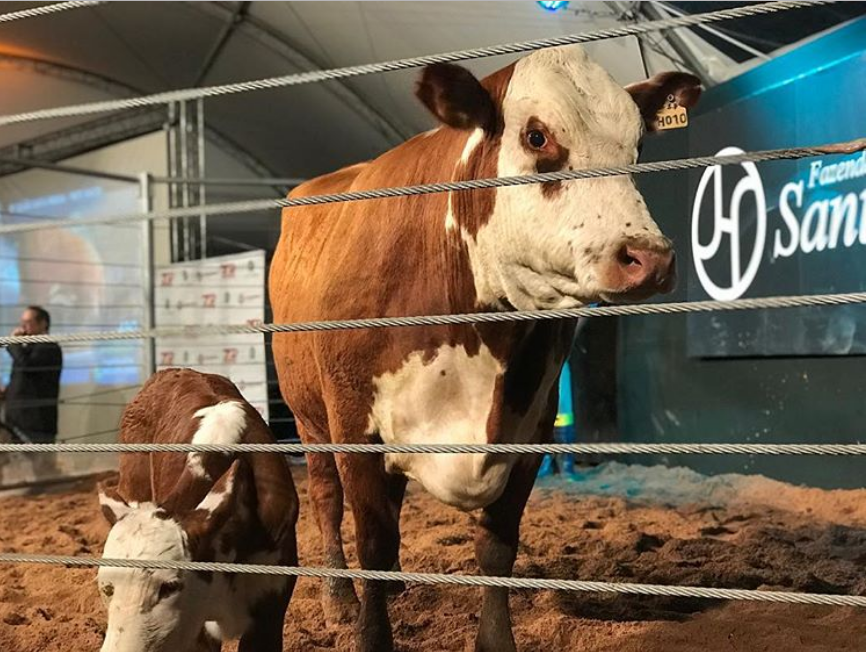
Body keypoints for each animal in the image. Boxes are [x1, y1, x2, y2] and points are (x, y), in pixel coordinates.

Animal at [266, 45, 700, 652]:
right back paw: (339, 600)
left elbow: (496, 546)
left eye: (637, 146)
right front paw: (368, 626)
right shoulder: (354, 423)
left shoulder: (531, 427)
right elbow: (370, 536)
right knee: (328, 502)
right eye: (537, 136)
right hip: (308, 416)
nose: (649, 258)